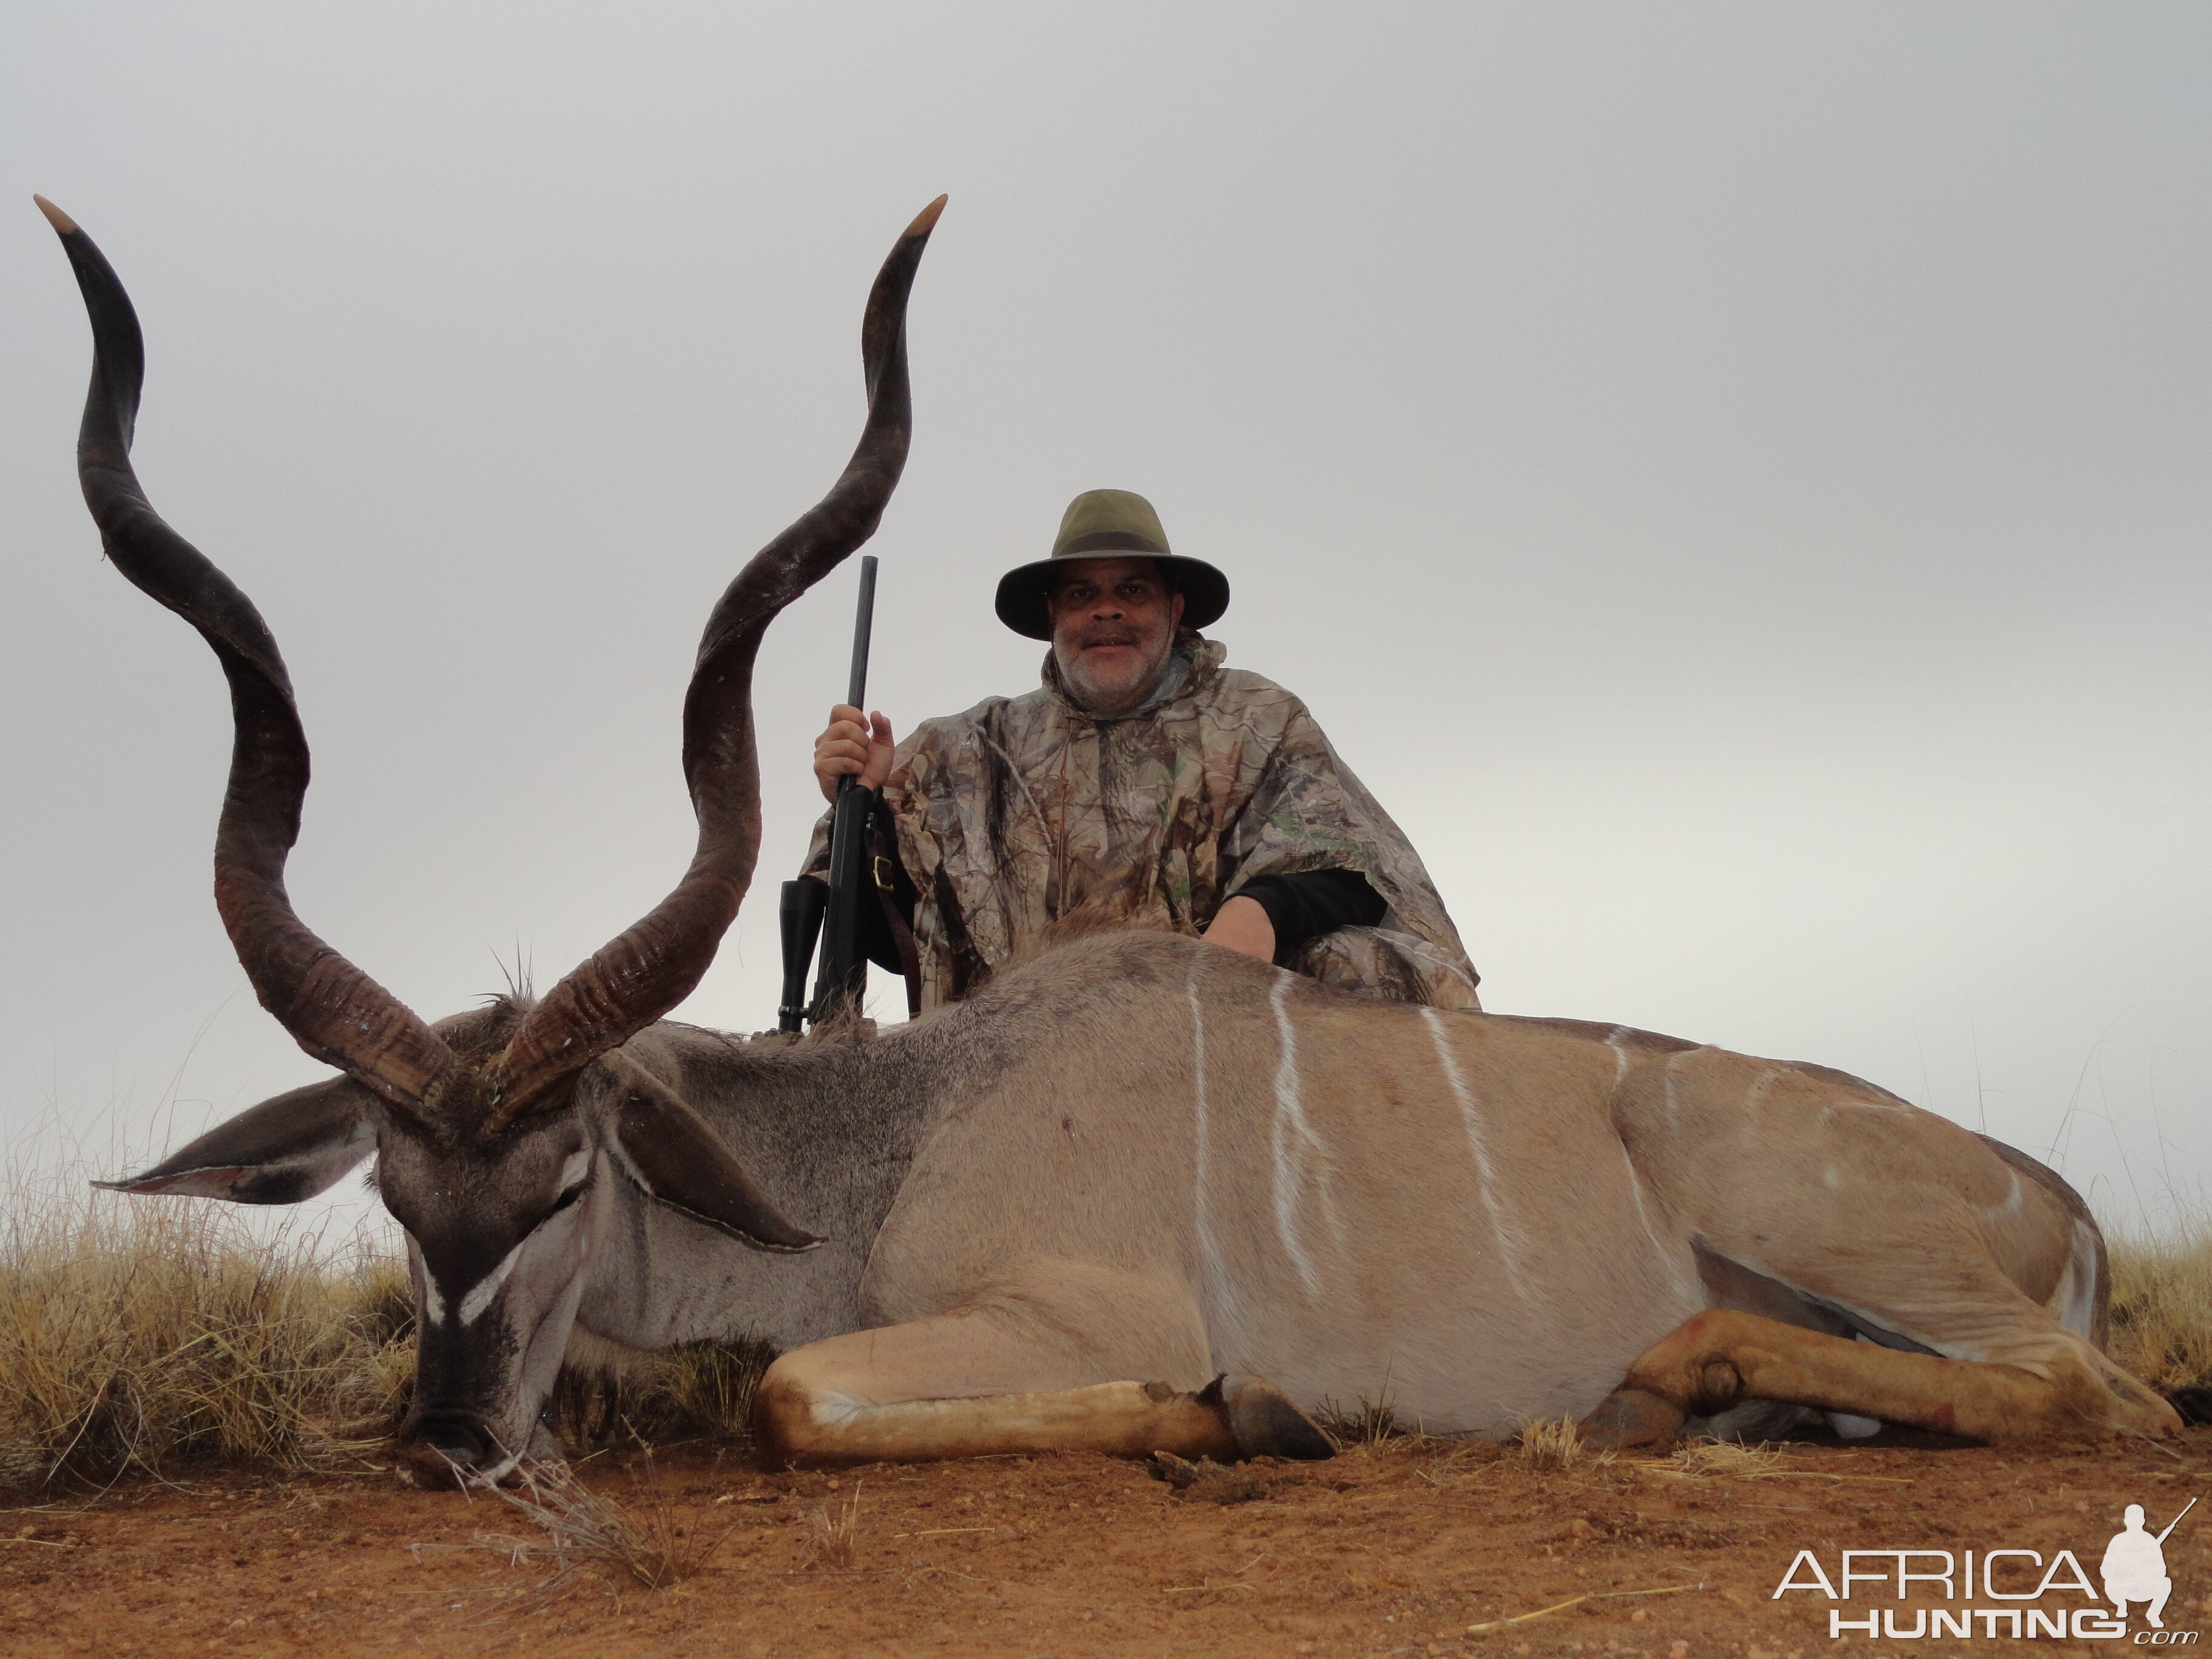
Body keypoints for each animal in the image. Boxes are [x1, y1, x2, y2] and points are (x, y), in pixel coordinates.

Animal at [35, 198, 2176, 1495]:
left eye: (566, 1179)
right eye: (396, 1195)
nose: (444, 1444)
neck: (895, 1141)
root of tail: (2047, 1197)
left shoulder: (1065, 1309)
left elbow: (803, 1397)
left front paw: (1243, 1409)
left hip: (1819, 1214)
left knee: (2103, 1394)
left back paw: (1670, 1377)